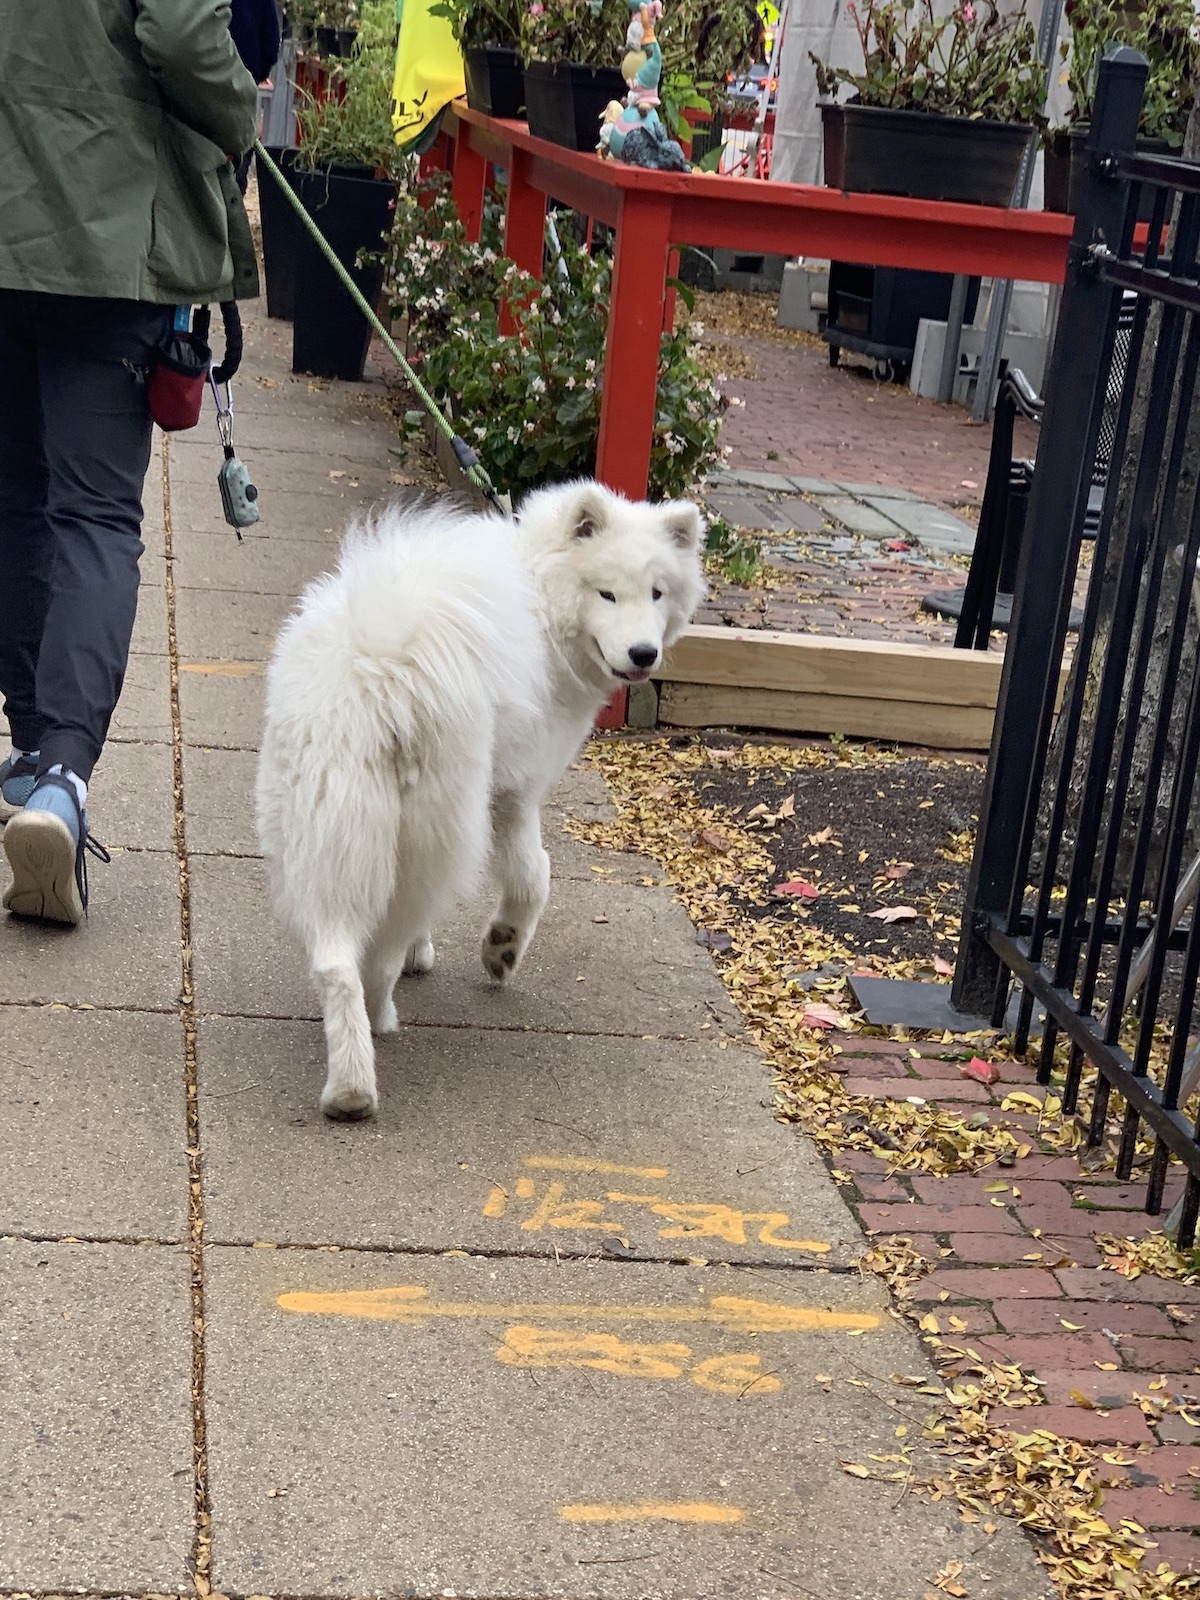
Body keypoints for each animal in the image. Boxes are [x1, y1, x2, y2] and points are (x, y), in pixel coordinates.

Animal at [254, 480, 704, 1120]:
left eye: (657, 592)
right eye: (608, 593)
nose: (644, 654)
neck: (540, 591)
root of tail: (381, 661)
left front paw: (430, 951)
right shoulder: (513, 791)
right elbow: (533, 875)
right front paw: (502, 949)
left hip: (327, 824)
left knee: (335, 957)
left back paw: (347, 1088)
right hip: (433, 823)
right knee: (379, 949)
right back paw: (380, 1023)